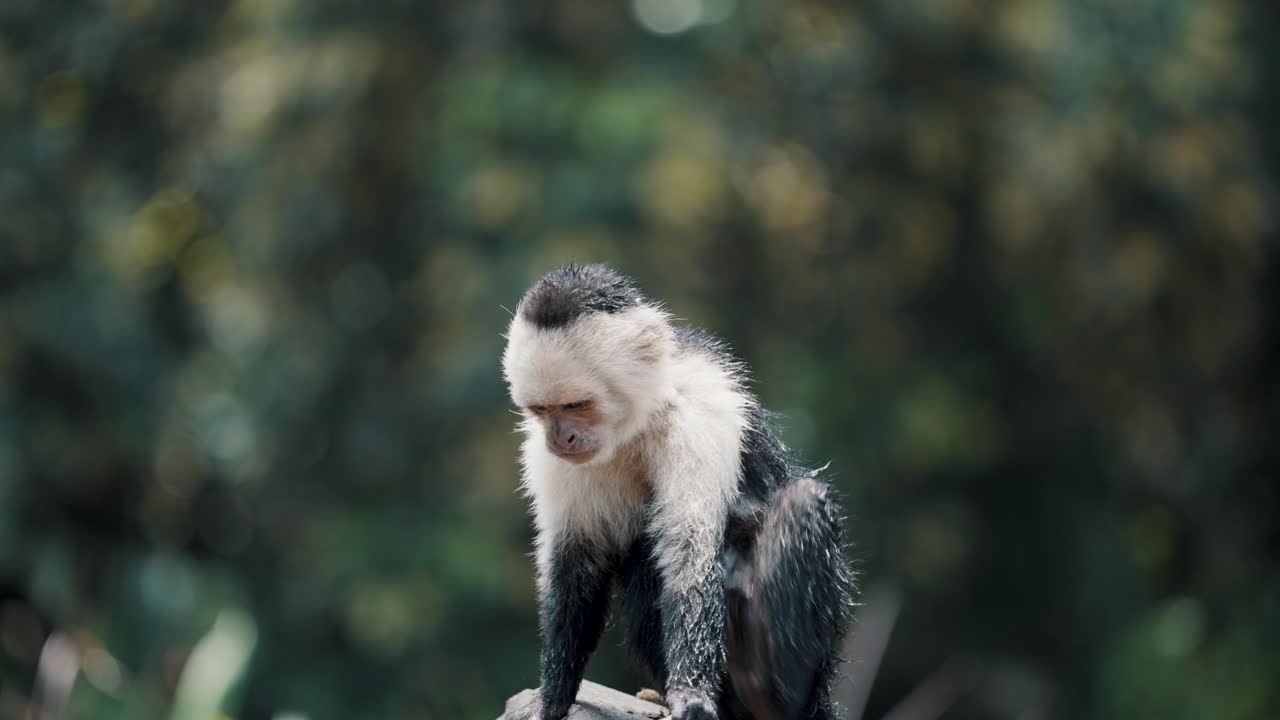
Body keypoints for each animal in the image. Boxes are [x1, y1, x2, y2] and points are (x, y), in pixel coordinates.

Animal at [502, 264, 855, 720]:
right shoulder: (549, 459)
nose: (561, 438)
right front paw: (554, 694)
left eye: (578, 405)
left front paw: (691, 693)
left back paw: (771, 697)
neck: (638, 422)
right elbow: (576, 560)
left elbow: (690, 548)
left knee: (803, 502)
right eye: (543, 410)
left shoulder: (697, 415)